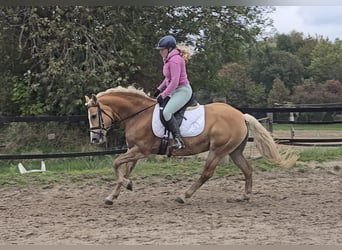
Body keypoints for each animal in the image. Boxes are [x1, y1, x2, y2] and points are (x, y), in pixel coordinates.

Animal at [85, 86, 296, 205]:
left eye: (94, 115)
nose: (95, 140)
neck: (139, 114)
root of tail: (241, 115)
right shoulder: (134, 151)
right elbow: (124, 170)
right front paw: (113, 196)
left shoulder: (141, 151)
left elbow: (116, 164)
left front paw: (126, 186)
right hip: (234, 151)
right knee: (247, 169)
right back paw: (244, 196)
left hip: (217, 150)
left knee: (206, 174)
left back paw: (184, 196)